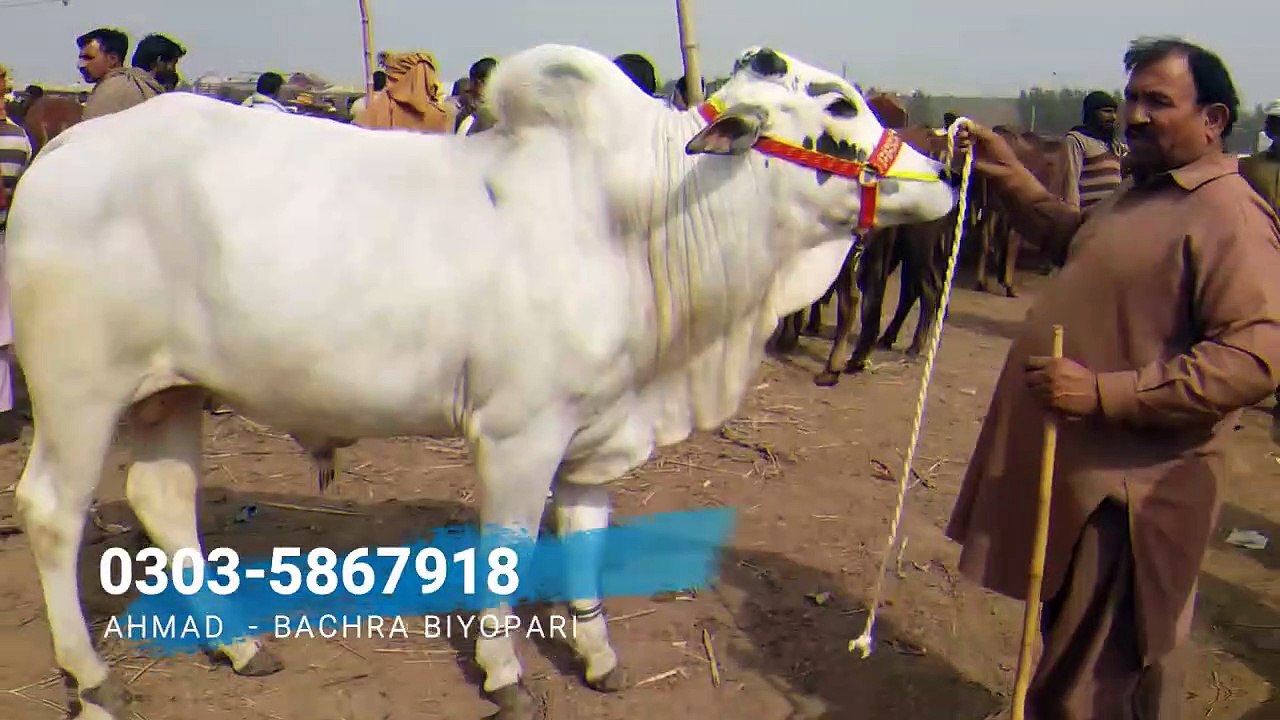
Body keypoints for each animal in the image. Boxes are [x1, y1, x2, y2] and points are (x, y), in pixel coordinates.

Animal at [7, 44, 956, 719]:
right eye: (839, 103)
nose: (945, 179)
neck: (635, 218)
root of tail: (58, 153)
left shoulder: (594, 437)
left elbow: (585, 544)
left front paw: (598, 658)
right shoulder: (518, 433)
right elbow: (508, 550)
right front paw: (507, 676)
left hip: (170, 391)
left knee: (165, 500)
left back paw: (239, 647)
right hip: (80, 389)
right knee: (53, 510)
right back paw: (90, 677)